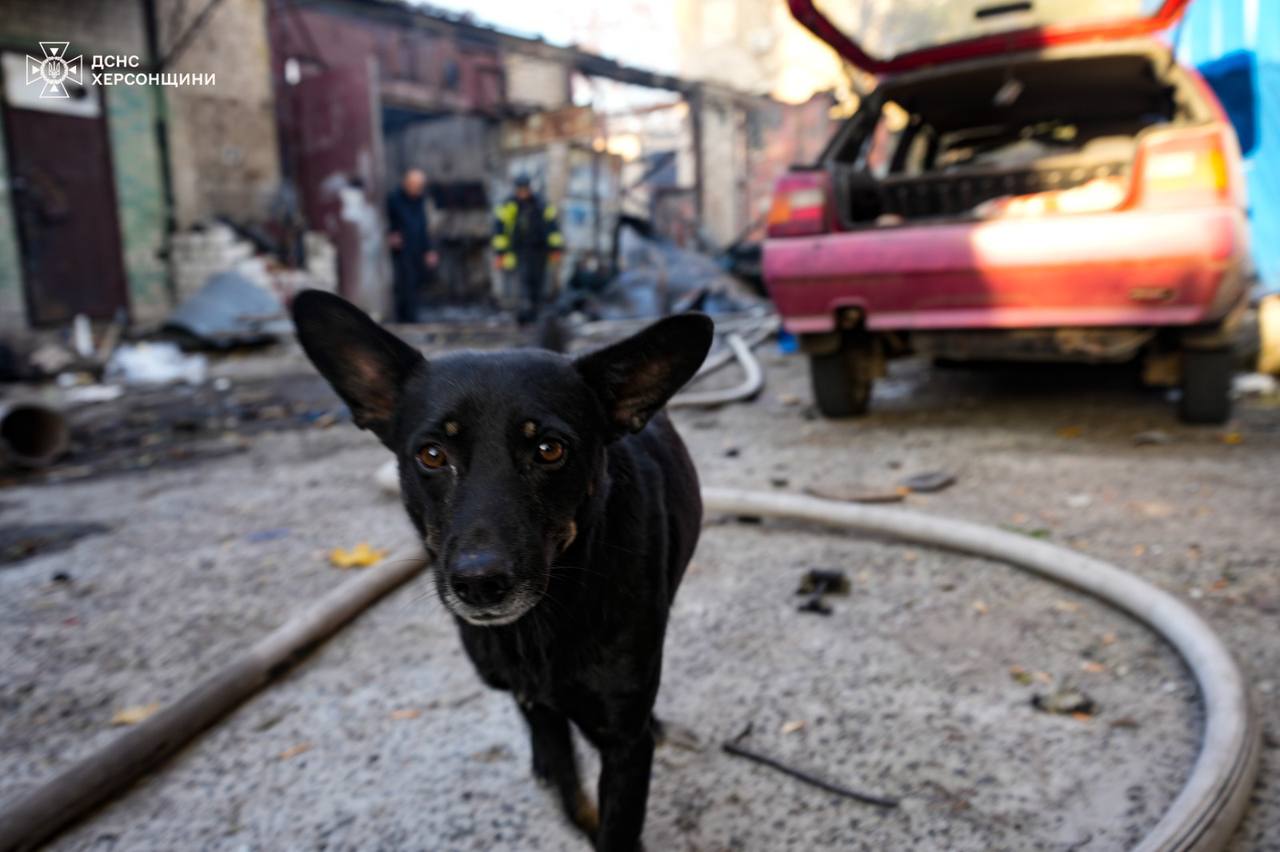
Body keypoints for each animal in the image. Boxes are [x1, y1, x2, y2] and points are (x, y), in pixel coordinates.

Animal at [293, 290, 716, 844]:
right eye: (432, 454)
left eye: (549, 449)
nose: (479, 584)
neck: (541, 626)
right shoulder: (533, 697)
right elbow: (567, 783)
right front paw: (567, 793)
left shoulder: (624, 743)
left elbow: (613, 821)